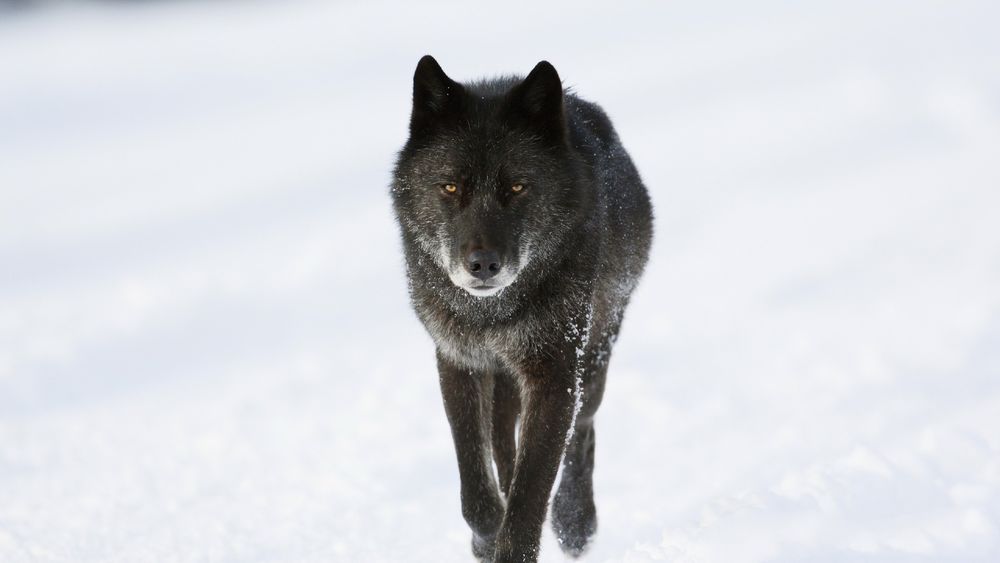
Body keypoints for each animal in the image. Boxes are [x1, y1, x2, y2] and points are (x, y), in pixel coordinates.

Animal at [390, 55, 653, 562]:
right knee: (503, 440)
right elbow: (477, 484)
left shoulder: (554, 373)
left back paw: (574, 521)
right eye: (449, 186)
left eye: (516, 186)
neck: (491, 315)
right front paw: (485, 536)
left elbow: (532, 490)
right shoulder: (459, 361)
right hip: (507, 379)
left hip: (594, 354)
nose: (483, 265)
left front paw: (521, 536)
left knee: (582, 430)